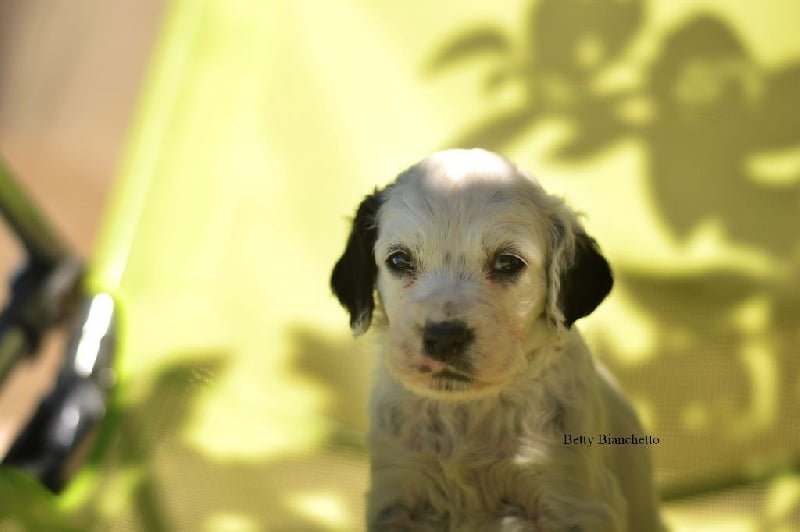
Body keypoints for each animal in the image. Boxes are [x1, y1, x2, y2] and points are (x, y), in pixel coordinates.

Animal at [331, 149, 663, 531]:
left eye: (507, 262)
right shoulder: (398, 486)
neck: (468, 409)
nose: (443, 338)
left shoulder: (569, 497)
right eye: (399, 260)